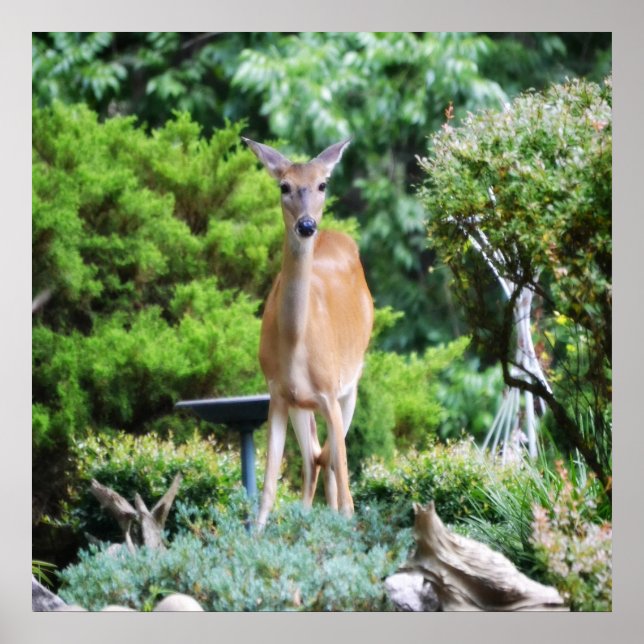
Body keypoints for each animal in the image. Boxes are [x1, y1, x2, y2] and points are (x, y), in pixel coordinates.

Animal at [242, 137, 374, 530]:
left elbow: (346, 489)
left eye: (322, 185)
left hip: (351, 383)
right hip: (302, 404)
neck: (295, 342)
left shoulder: (330, 391)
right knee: (315, 459)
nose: (306, 225)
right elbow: (268, 490)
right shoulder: (278, 394)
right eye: (284, 186)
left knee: (329, 462)